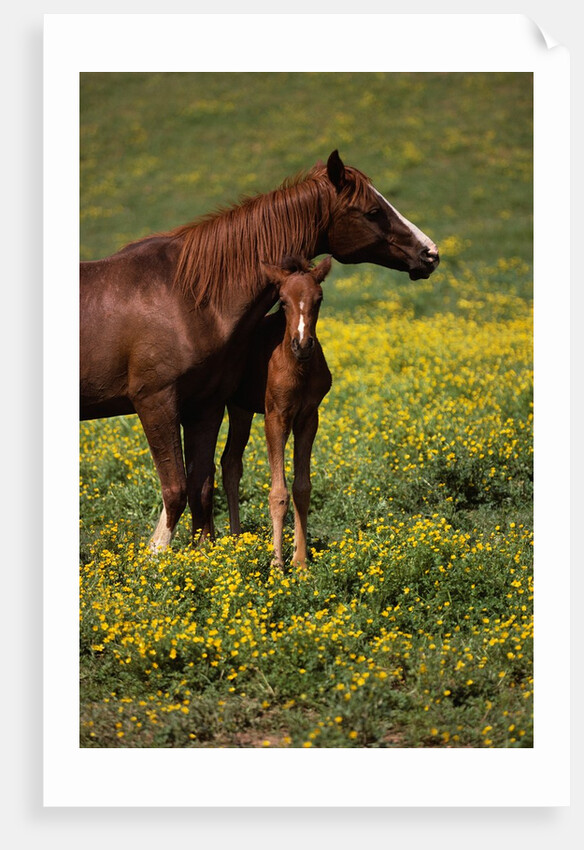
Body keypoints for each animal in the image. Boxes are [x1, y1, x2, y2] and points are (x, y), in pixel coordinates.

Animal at [221, 256, 332, 569]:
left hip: (242, 409)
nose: (303, 344)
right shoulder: (275, 416)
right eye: (282, 301)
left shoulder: (309, 417)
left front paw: (301, 563)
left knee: (230, 463)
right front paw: (277, 564)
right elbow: (278, 493)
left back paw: (237, 538)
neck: (298, 368)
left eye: (319, 298)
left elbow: (302, 489)